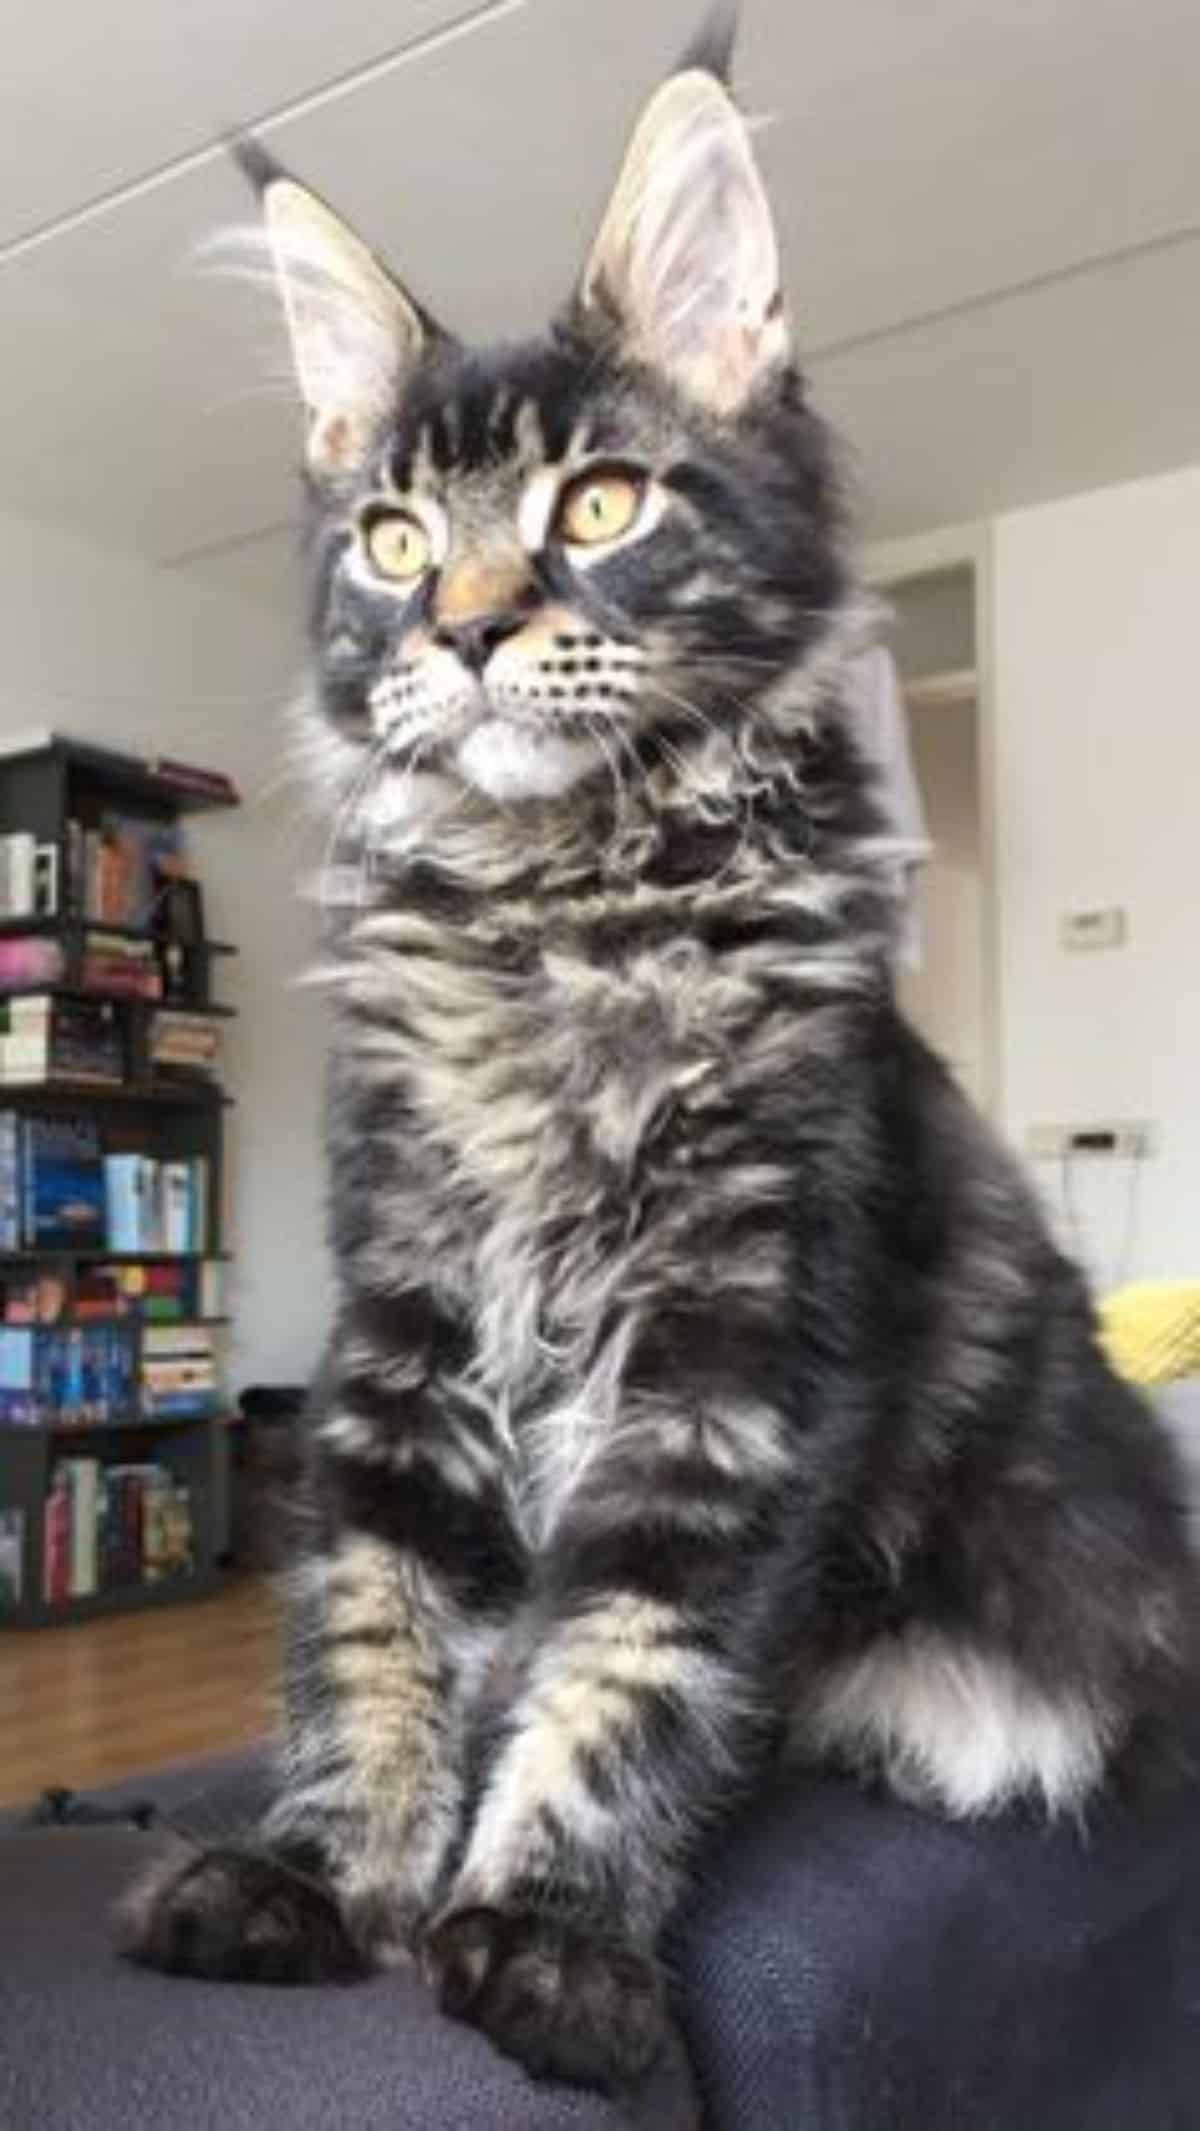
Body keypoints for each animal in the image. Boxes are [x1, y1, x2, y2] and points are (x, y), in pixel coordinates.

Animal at [122, 4, 1200, 2096]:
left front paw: (544, 1939)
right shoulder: (407, 1327)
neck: (565, 914)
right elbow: (369, 1625)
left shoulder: (740, 1347)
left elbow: (631, 1660)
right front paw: (321, 1879)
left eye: (600, 506)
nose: (464, 629)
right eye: (392, 539)